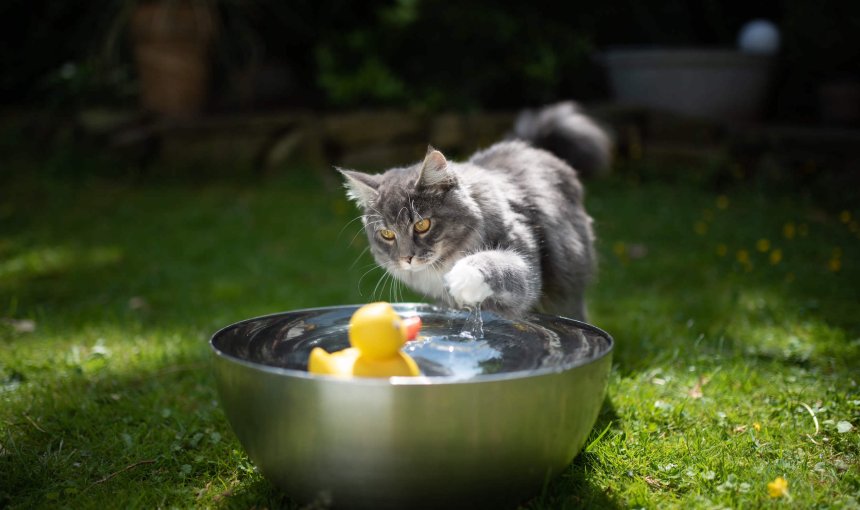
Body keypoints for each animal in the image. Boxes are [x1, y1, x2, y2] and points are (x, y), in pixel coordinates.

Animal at [340, 101, 608, 320]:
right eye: (387, 234)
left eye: (422, 225)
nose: (407, 258)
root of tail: (530, 147)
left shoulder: (527, 268)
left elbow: (498, 264)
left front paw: (463, 277)